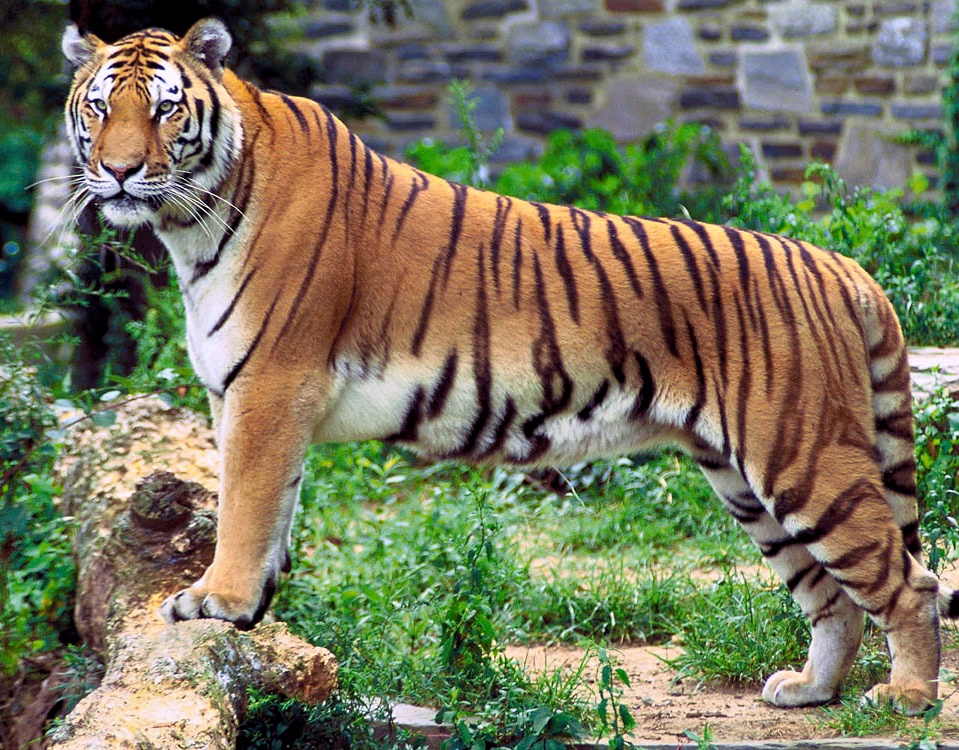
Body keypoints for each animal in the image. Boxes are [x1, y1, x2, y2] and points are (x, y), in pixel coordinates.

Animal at [62, 17, 956, 715]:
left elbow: (245, 506)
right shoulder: (246, 397)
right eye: (100, 107)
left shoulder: (270, 387)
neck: (194, 222)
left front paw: (217, 601)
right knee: (831, 597)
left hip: (803, 458)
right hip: (745, 481)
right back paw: (810, 690)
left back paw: (904, 698)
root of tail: (839, 265)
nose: (119, 170)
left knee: (907, 582)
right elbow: (270, 508)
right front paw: (253, 612)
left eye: (165, 108)